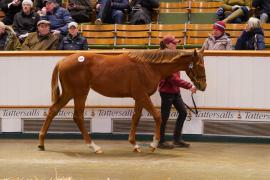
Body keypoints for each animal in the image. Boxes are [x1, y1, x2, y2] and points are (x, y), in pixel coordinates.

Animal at [38, 49, 207, 153]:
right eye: (199, 65)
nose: (202, 86)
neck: (149, 66)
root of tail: (63, 60)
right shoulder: (142, 95)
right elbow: (157, 116)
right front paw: (153, 144)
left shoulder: (139, 97)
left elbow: (136, 118)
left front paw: (135, 144)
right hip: (80, 93)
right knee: (77, 116)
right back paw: (94, 146)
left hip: (69, 93)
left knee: (53, 110)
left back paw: (41, 143)